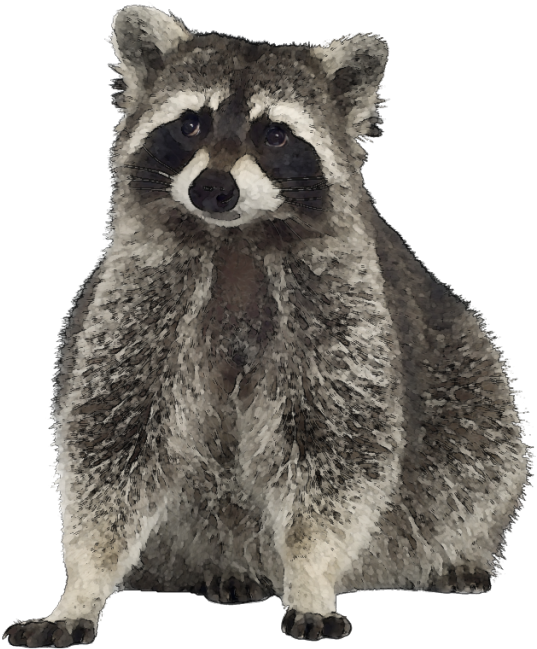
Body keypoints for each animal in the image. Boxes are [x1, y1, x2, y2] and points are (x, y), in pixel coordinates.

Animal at [3, 5, 532, 647]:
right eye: (191, 125)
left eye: (274, 135)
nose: (213, 188)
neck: (235, 238)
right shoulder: (144, 293)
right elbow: (115, 439)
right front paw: (81, 585)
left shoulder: (337, 302)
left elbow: (336, 446)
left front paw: (309, 573)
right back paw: (220, 567)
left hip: (470, 379)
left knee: (483, 450)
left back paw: (460, 550)